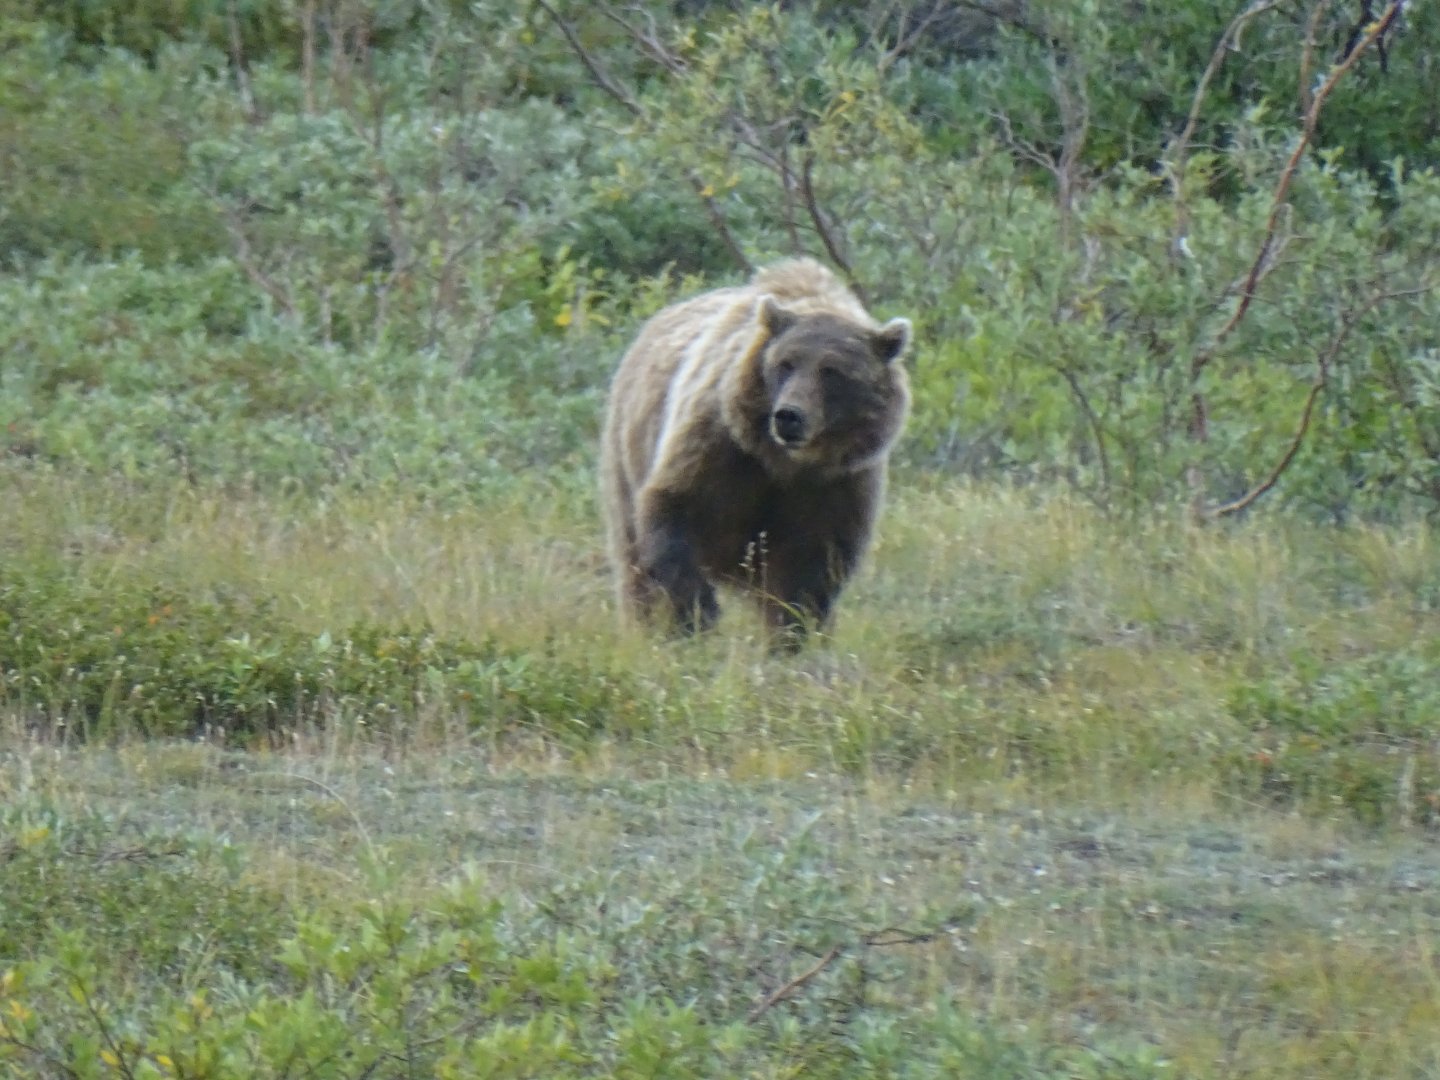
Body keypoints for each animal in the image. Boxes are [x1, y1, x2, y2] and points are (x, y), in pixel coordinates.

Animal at [600, 258, 912, 647]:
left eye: (832, 371)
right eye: (785, 363)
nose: (789, 416)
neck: (784, 463)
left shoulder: (837, 482)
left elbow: (812, 565)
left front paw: (792, 635)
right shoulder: (719, 446)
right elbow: (674, 507)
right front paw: (697, 617)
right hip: (627, 451)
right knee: (633, 559)